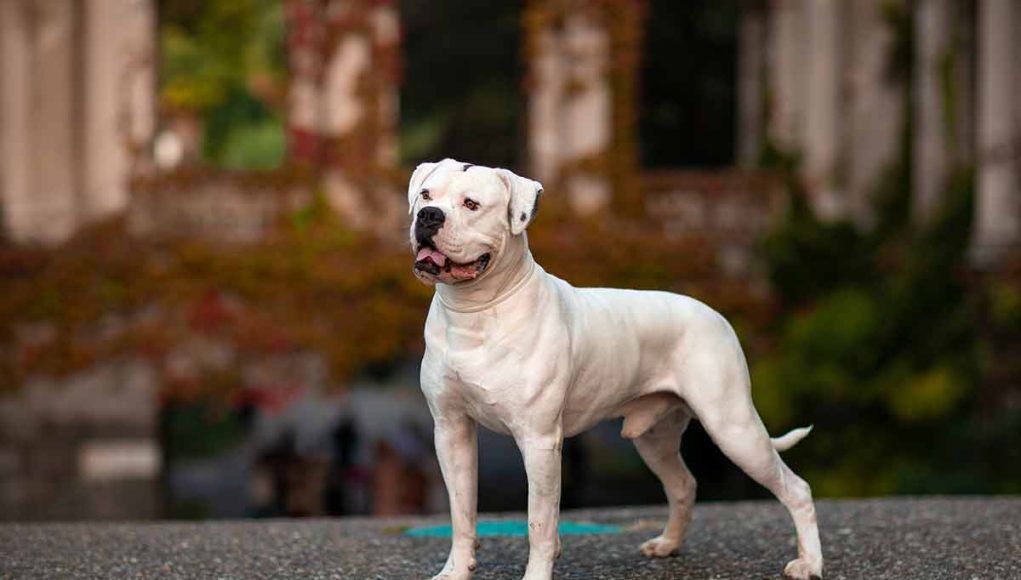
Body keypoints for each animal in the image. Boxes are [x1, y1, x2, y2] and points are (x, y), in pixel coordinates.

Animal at [404, 158, 820, 580]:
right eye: (425, 195)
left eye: (471, 204)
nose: (429, 216)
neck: (474, 312)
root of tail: (716, 314)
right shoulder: (451, 432)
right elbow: (461, 512)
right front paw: (456, 570)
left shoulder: (539, 441)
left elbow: (539, 522)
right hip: (655, 438)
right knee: (683, 484)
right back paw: (668, 544)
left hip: (733, 427)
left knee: (797, 488)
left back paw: (809, 563)